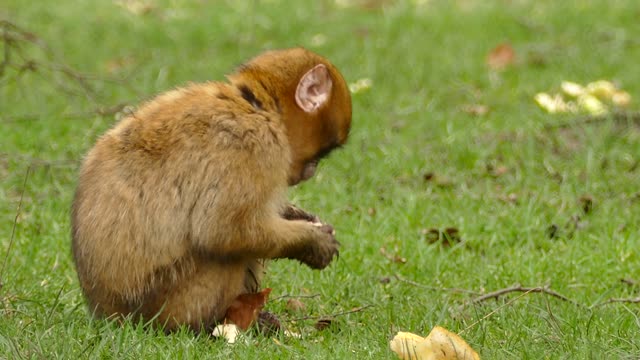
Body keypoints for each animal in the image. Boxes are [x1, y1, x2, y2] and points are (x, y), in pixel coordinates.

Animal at [72, 47, 352, 332]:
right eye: (324, 151)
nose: (312, 171)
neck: (255, 106)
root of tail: (108, 313)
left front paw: (299, 217)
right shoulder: (253, 146)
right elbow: (221, 231)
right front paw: (310, 242)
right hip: (171, 303)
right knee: (226, 253)